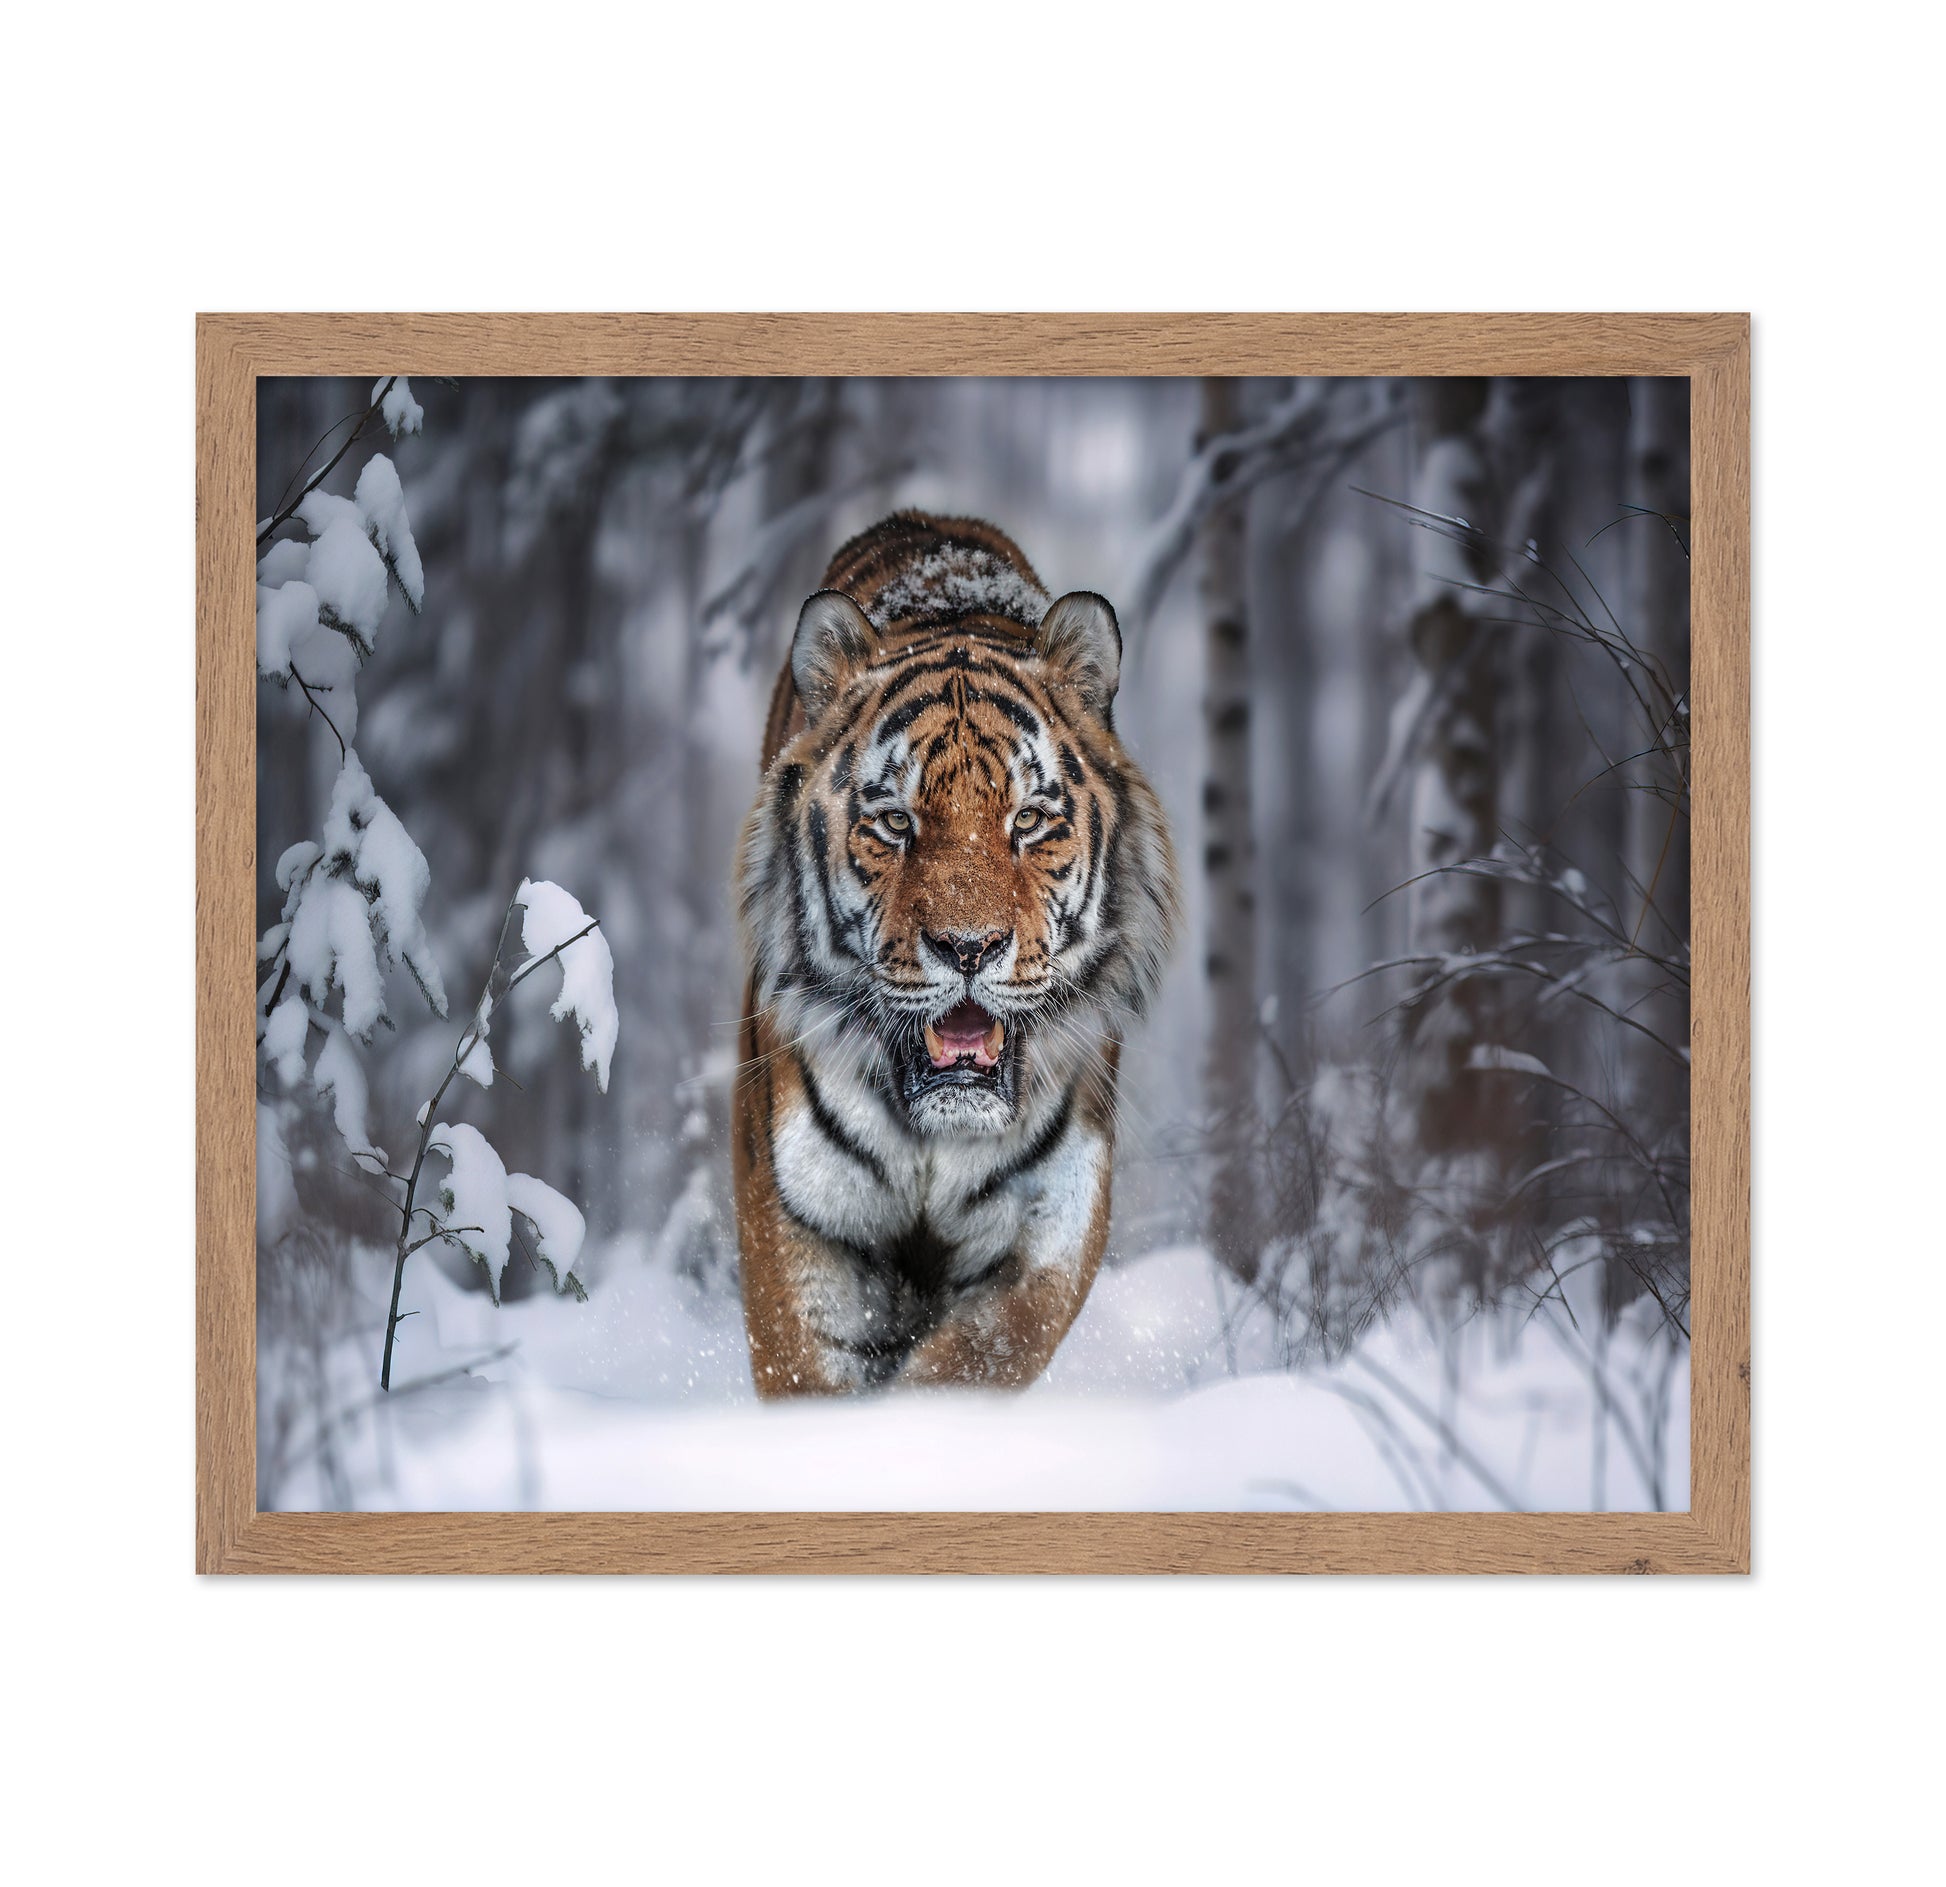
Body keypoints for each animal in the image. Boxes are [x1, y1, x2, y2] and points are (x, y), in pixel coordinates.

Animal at [732, 511, 1179, 1396]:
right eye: (895, 822)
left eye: (1029, 820)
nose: (968, 947)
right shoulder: (795, 1210)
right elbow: (806, 1372)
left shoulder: (1051, 1222)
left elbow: (971, 1363)